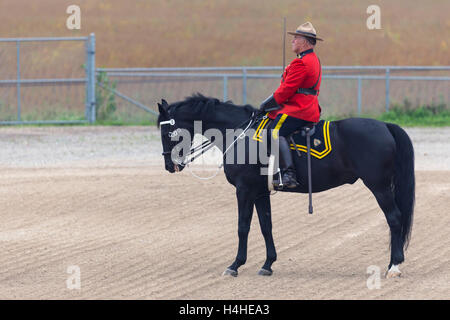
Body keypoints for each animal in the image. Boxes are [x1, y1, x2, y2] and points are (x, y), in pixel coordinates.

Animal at [157, 94, 414, 278]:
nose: (170, 165)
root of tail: (385, 126)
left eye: (167, 131)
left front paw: (235, 265)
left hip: (379, 187)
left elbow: (243, 227)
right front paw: (268, 264)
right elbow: (266, 226)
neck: (239, 134)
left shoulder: (244, 190)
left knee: (394, 219)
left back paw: (394, 266)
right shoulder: (260, 192)